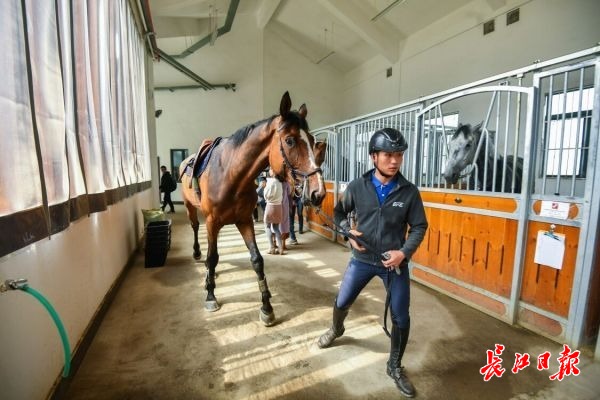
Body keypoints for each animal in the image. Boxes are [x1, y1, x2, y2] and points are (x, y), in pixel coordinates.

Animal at [180, 92, 326, 326]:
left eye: (312, 141)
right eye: (290, 140)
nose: (318, 192)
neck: (231, 175)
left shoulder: (244, 220)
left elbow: (257, 260)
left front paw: (266, 306)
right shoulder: (212, 222)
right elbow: (212, 257)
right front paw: (211, 296)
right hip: (190, 207)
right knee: (195, 228)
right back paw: (198, 255)